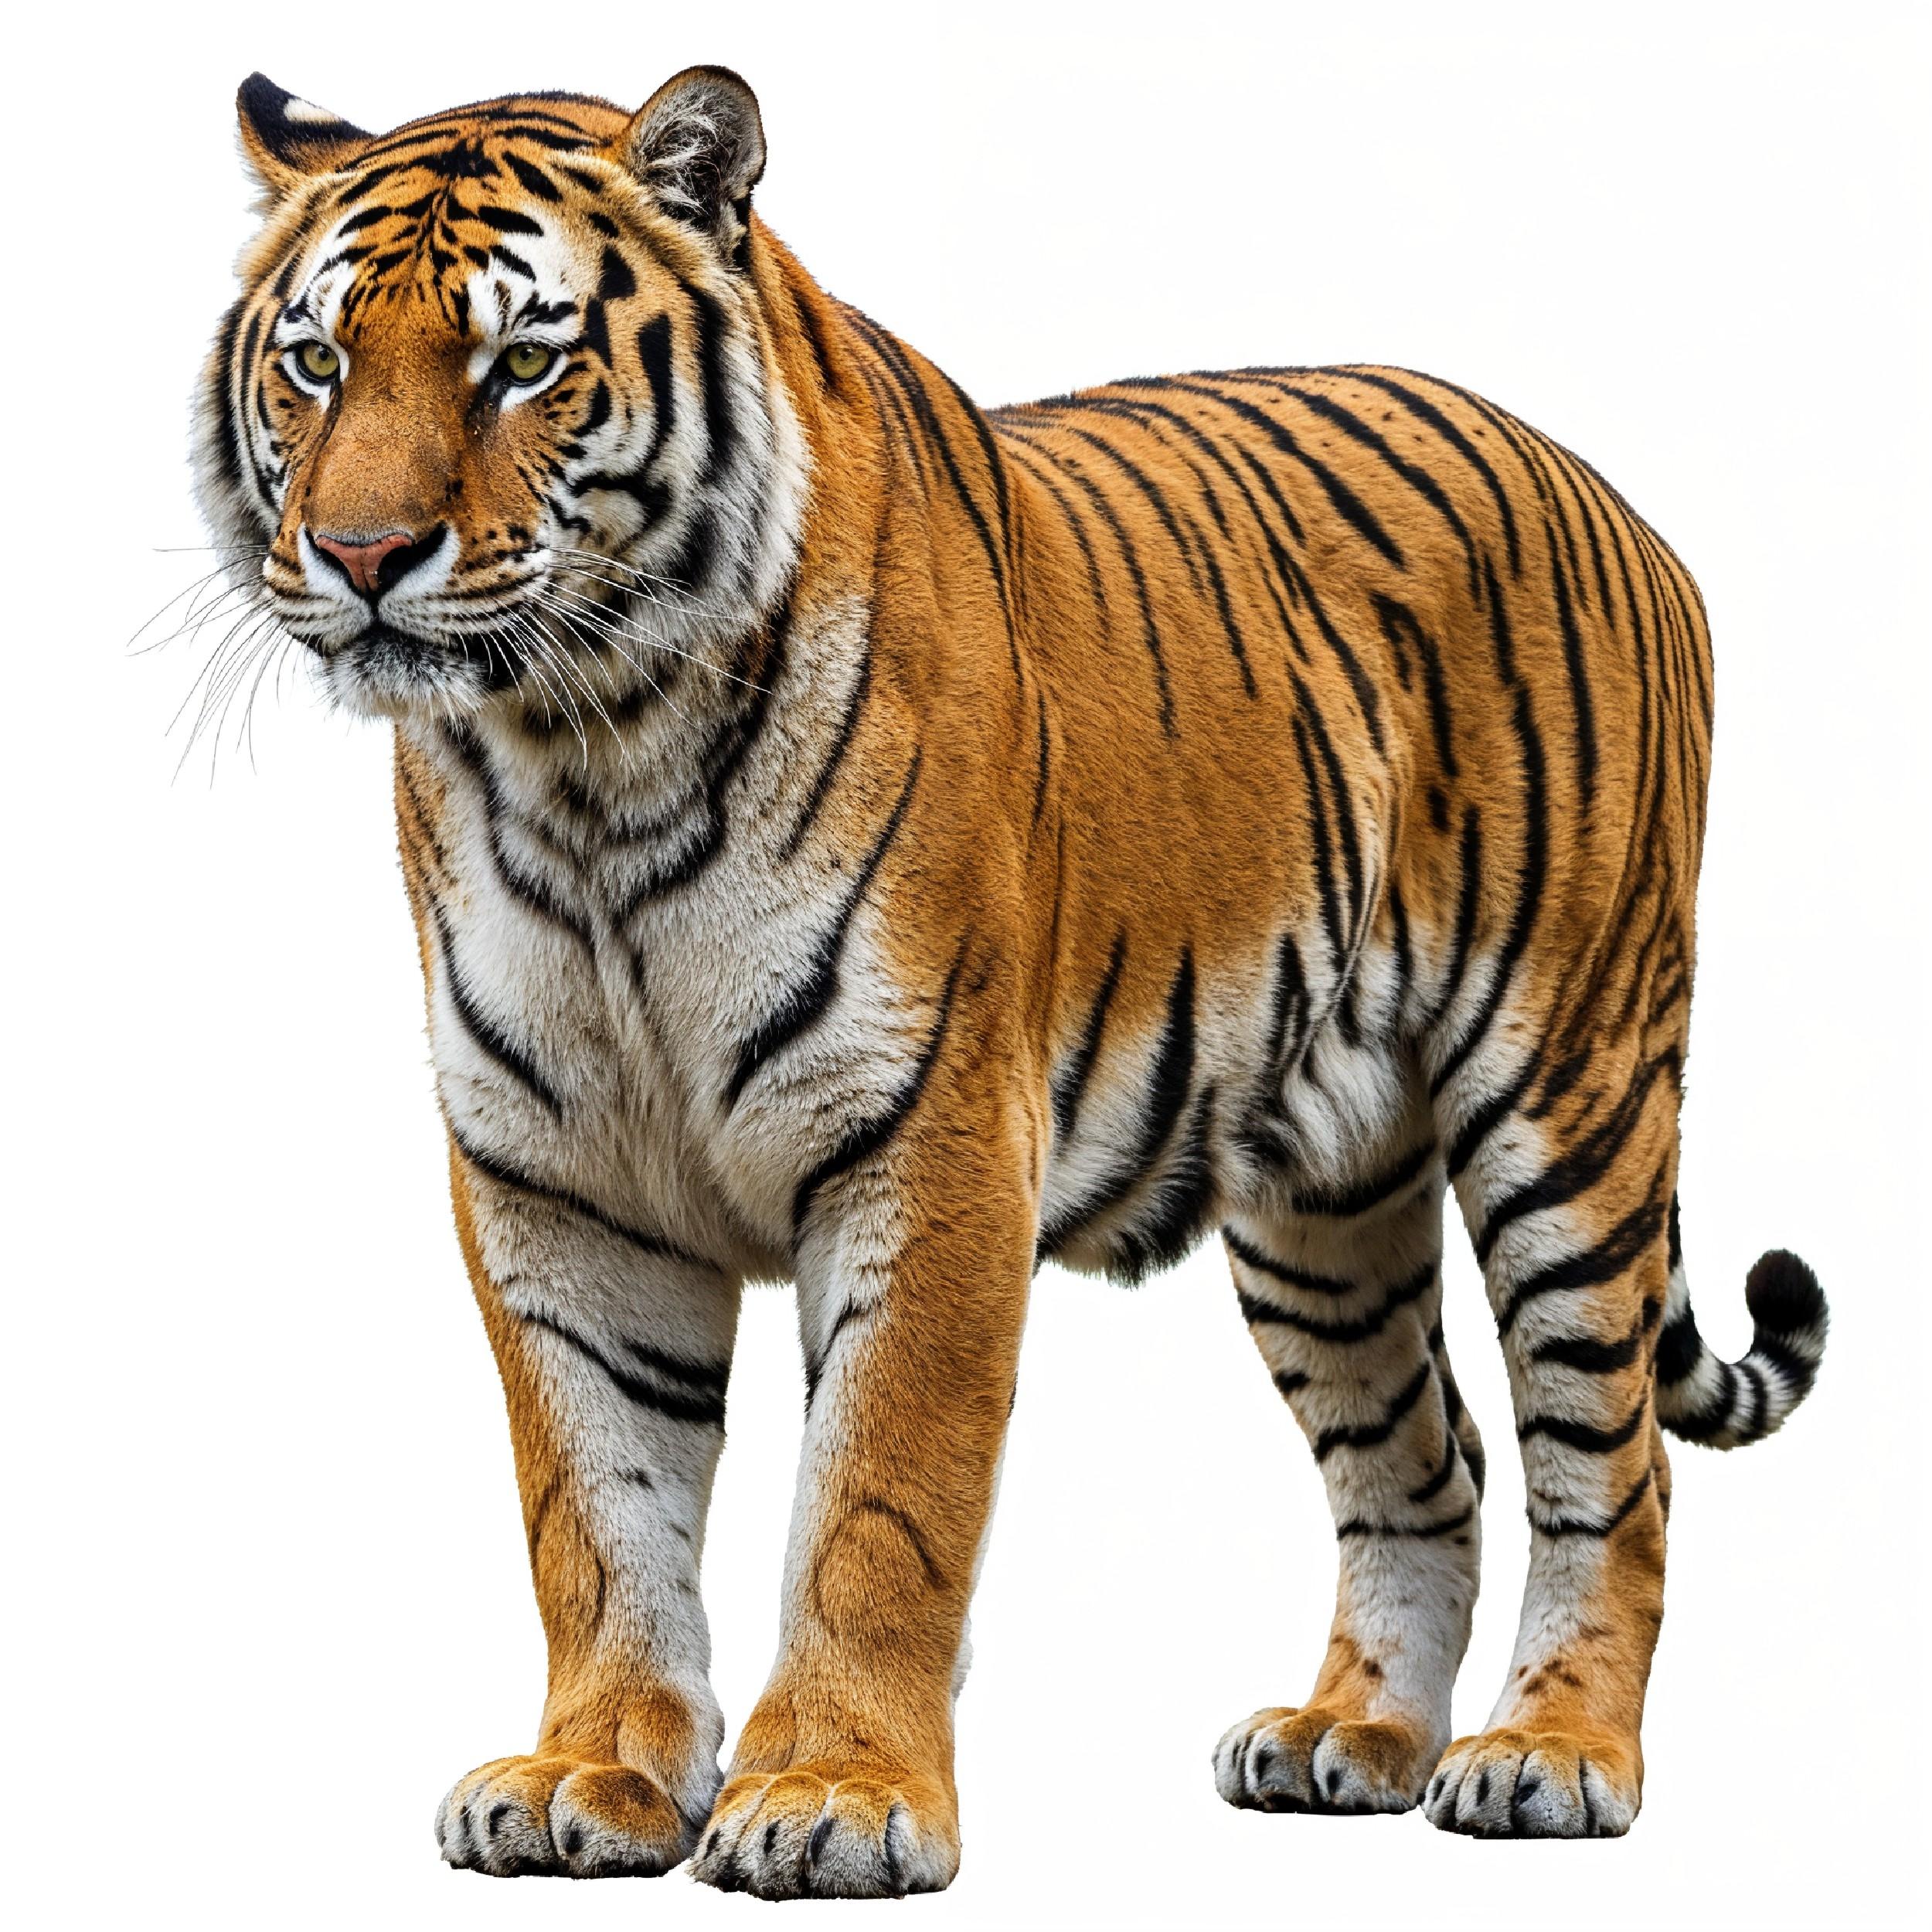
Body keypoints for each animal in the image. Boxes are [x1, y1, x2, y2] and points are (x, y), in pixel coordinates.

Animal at [191, 64, 1829, 1897]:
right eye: (317, 363)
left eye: (521, 364)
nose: (362, 552)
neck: (581, 753)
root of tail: (1607, 491)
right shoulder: (555, 1182)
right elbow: (593, 1507)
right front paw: (587, 1774)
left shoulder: (930, 1141)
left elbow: (876, 1501)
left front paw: (834, 1794)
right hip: (1323, 1199)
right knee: (1430, 1461)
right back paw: (1349, 1738)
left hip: (1570, 1092)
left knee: (1607, 1463)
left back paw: (1550, 1753)